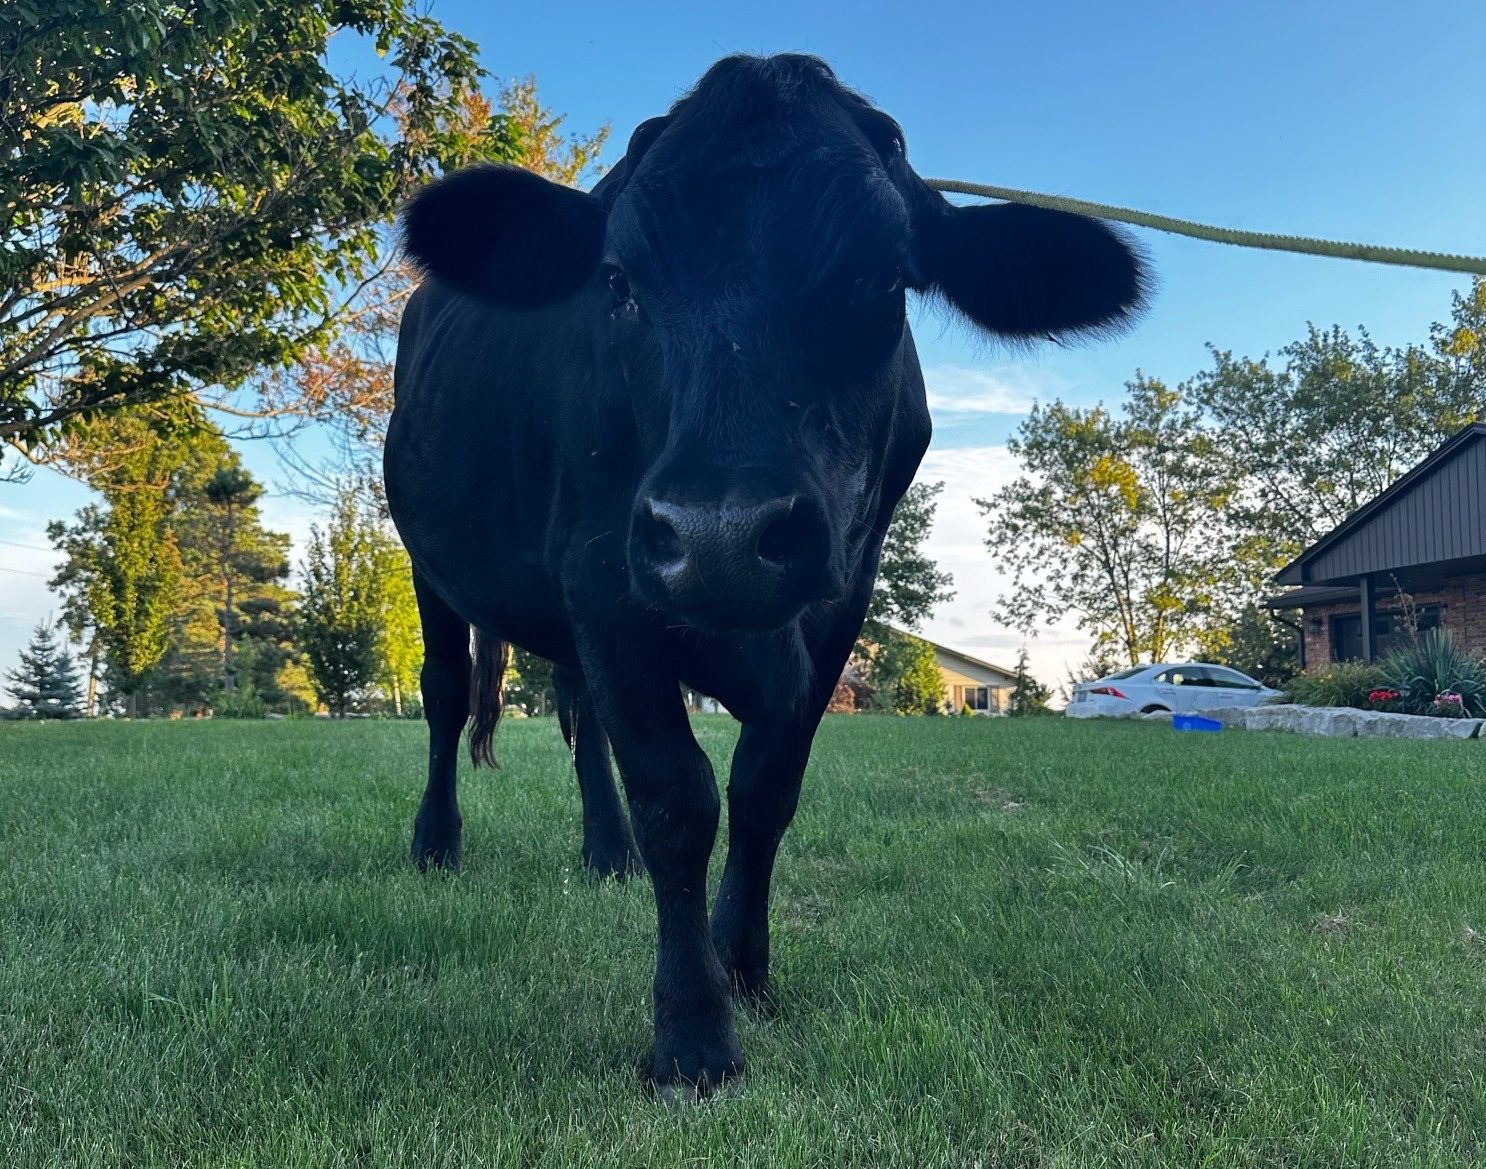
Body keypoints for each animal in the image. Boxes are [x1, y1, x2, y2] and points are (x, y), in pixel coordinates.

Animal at [385, 52, 1147, 1099]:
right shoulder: (605, 574)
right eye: (618, 282)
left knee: (580, 718)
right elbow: (677, 796)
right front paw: (692, 1033)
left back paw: (604, 850)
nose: (721, 533)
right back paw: (435, 843)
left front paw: (741, 967)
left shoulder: (841, 600)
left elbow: (762, 790)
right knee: (446, 692)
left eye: (883, 276)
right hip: (428, 557)